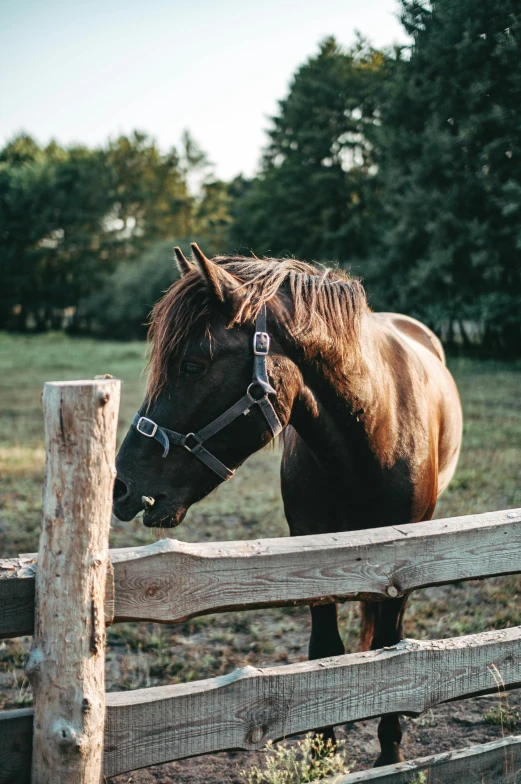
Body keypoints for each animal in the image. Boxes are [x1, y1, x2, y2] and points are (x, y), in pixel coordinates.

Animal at [114, 240, 464, 764]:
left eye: (193, 365)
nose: (121, 485)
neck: (372, 433)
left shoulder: (408, 558)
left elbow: (391, 648)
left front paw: (390, 754)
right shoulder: (312, 550)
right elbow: (324, 651)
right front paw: (324, 753)